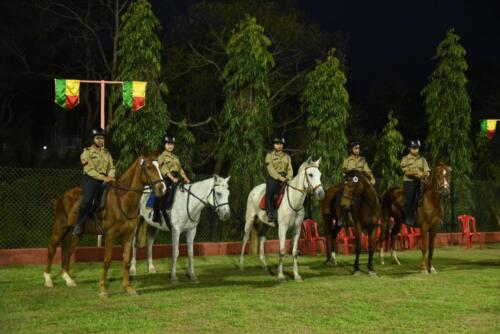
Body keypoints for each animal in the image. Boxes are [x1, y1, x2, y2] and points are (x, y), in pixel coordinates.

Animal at [43, 155, 164, 296]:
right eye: (149, 167)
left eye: (159, 166)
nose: (162, 188)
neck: (123, 200)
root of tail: (62, 197)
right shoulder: (110, 235)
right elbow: (107, 261)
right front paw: (103, 289)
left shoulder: (128, 236)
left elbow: (126, 261)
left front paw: (128, 288)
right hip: (60, 228)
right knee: (51, 249)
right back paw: (48, 279)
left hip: (75, 233)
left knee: (67, 251)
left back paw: (68, 279)